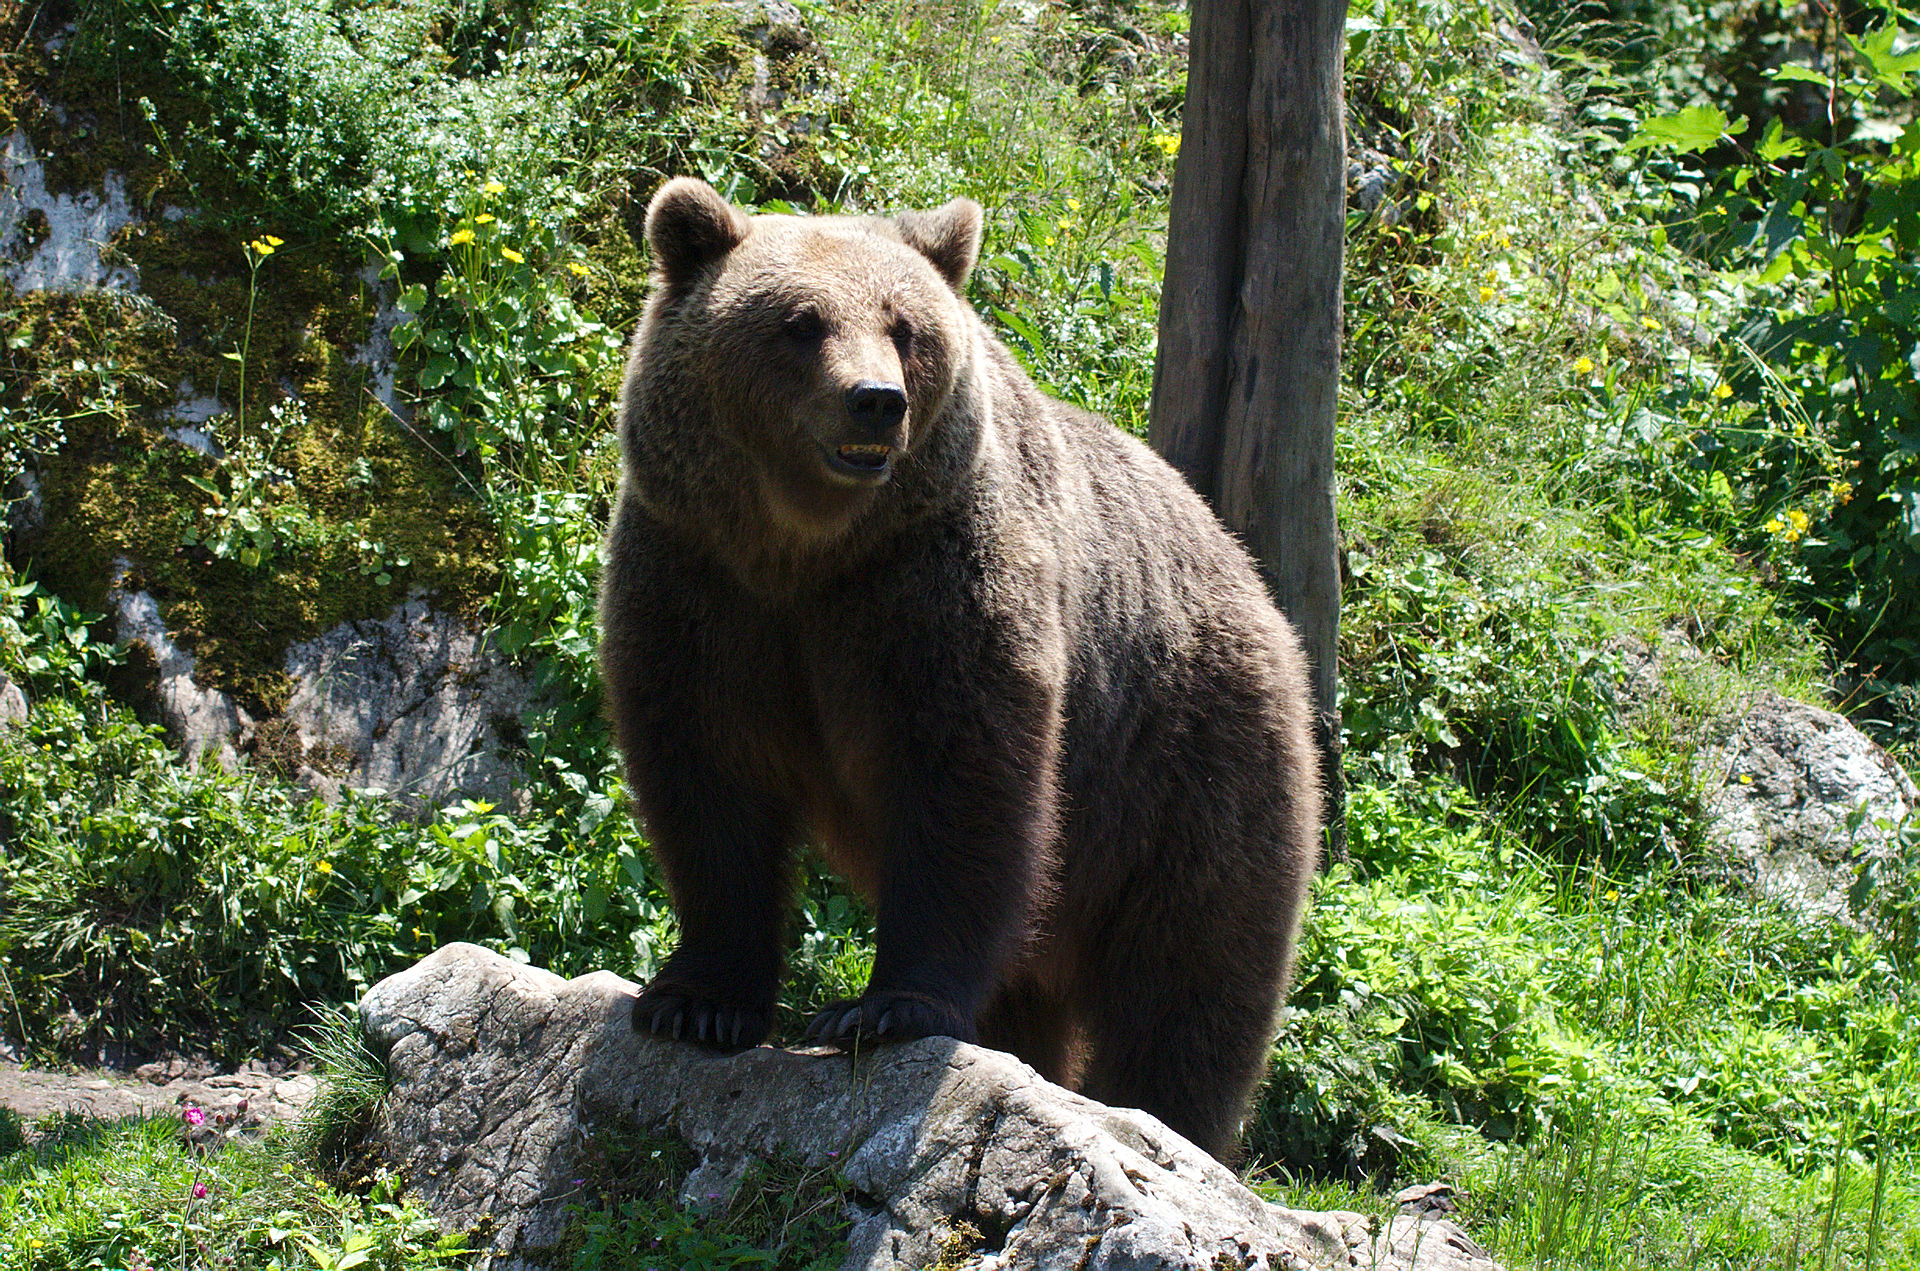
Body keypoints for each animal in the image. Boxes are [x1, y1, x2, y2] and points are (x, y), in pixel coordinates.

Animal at [599, 179, 1320, 1167]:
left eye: (905, 325)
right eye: (799, 322)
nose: (875, 401)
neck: (804, 550)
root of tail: (1256, 585)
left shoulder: (929, 581)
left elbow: (959, 778)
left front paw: (881, 1009)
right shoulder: (698, 578)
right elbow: (706, 776)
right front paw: (696, 1001)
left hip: (1190, 760)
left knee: (1191, 971)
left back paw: (1163, 1113)